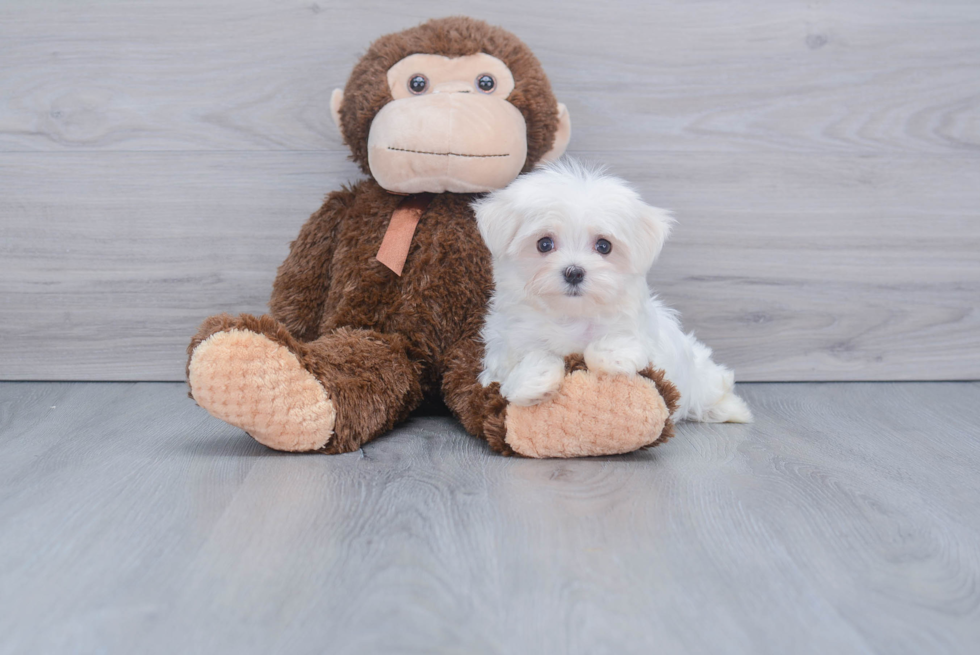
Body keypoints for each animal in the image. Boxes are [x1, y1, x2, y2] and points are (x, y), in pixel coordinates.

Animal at [472, 160, 752, 426]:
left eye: (604, 246)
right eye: (544, 244)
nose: (574, 272)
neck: (571, 316)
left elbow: (613, 348)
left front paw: (615, 355)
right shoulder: (502, 351)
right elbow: (518, 365)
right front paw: (534, 380)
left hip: (699, 373)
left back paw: (732, 409)